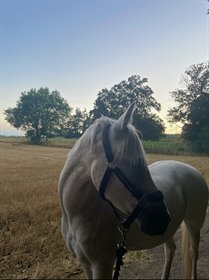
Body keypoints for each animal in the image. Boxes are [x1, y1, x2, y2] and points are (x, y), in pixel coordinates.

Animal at [58, 104, 209, 278]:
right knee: (170, 250)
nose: (162, 218)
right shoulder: (85, 263)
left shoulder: (102, 264)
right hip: (168, 231)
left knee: (193, 253)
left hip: (194, 223)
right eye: (136, 163)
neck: (77, 214)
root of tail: (194, 171)